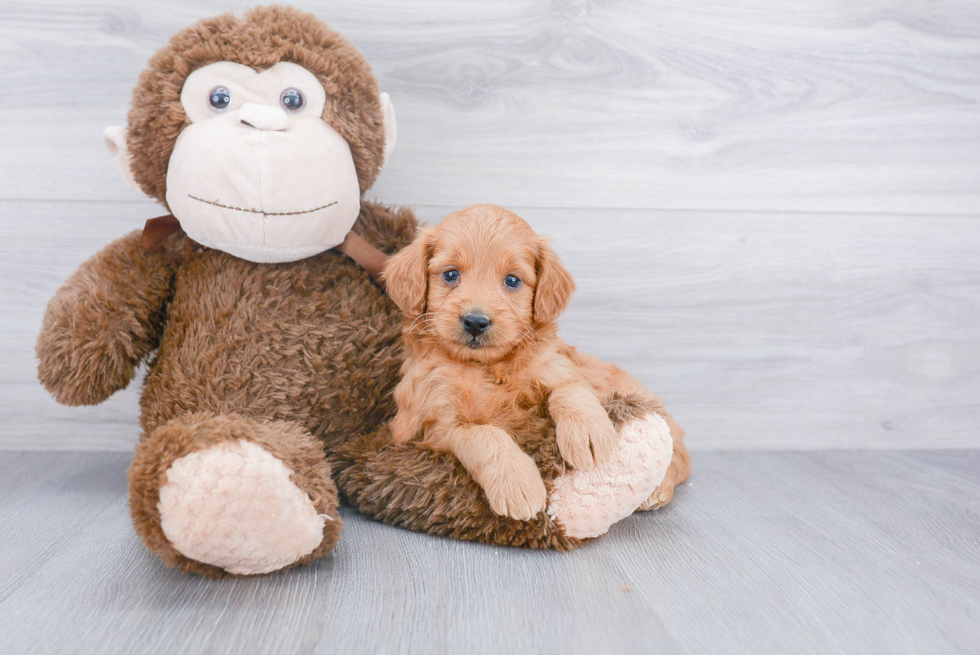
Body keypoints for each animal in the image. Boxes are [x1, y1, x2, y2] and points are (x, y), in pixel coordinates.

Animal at [378, 205, 684, 524]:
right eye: (450, 274)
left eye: (512, 280)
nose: (475, 321)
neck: (487, 366)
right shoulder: (435, 424)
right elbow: (485, 435)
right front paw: (517, 484)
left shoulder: (555, 365)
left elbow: (570, 389)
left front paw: (589, 433)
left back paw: (659, 490)